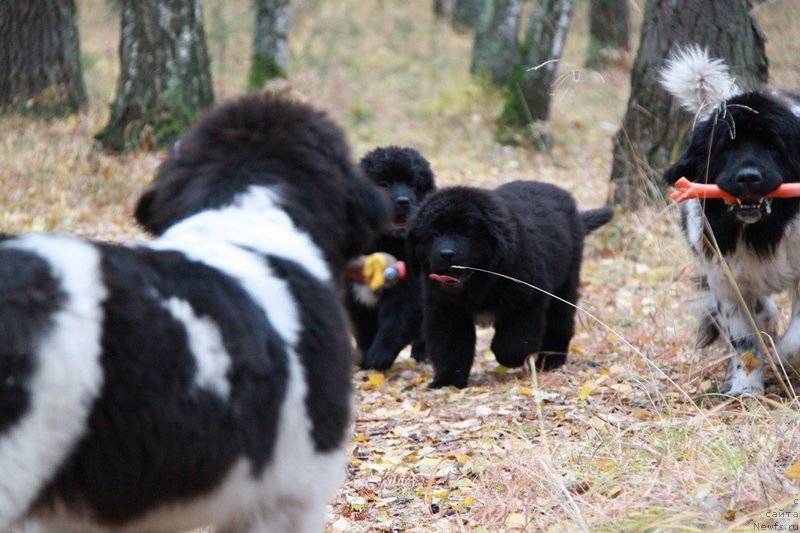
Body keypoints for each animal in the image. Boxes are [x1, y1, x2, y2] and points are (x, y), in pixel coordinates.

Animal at [410, 180, 608, 386]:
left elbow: (513, 344)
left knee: (560, 323)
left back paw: (550, 362)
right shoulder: (446, 309)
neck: (482, 284)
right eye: (435, 233)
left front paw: (510, 359)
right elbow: (451, 347)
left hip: (564, 285)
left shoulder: (526, 300)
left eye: (467, 233)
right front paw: (447, 381)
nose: (446, 254)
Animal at [660, 46, 800, 394]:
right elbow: (743, 339)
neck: (762, 231)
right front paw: (744, 389)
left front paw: (781, 357)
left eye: (773, 146)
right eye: (726, 147)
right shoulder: (724, 277)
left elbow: (795, 340)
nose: (748, 177)